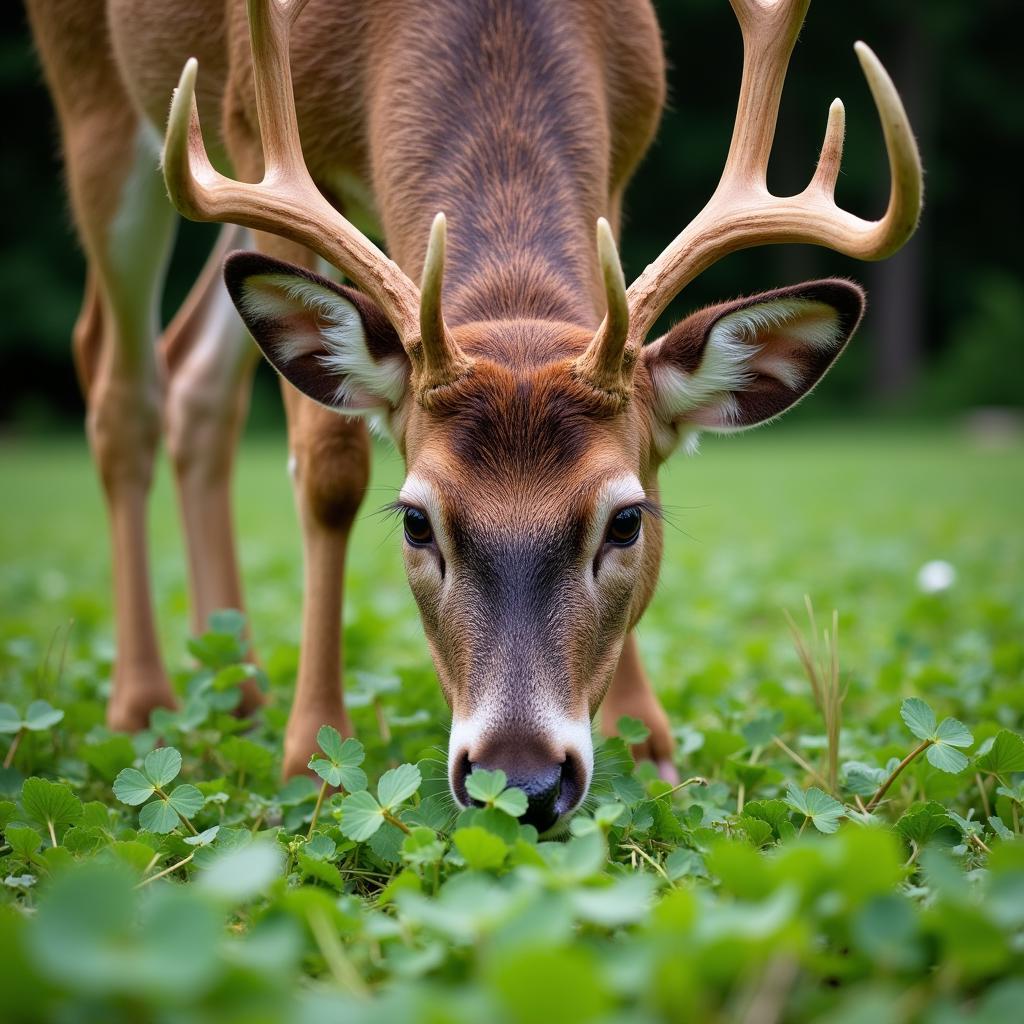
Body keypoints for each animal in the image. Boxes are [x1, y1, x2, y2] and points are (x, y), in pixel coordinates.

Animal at [25, 0, 921, 831]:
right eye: (417, 522)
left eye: (627, 519)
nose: (522, 782)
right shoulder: (248, 126)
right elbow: (329, 465)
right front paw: (311, 758)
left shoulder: (622, 162)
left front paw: (645, 740)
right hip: (101, 102)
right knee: (116, 376)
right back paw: (144, 703)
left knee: (193, 375)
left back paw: (238, 688)